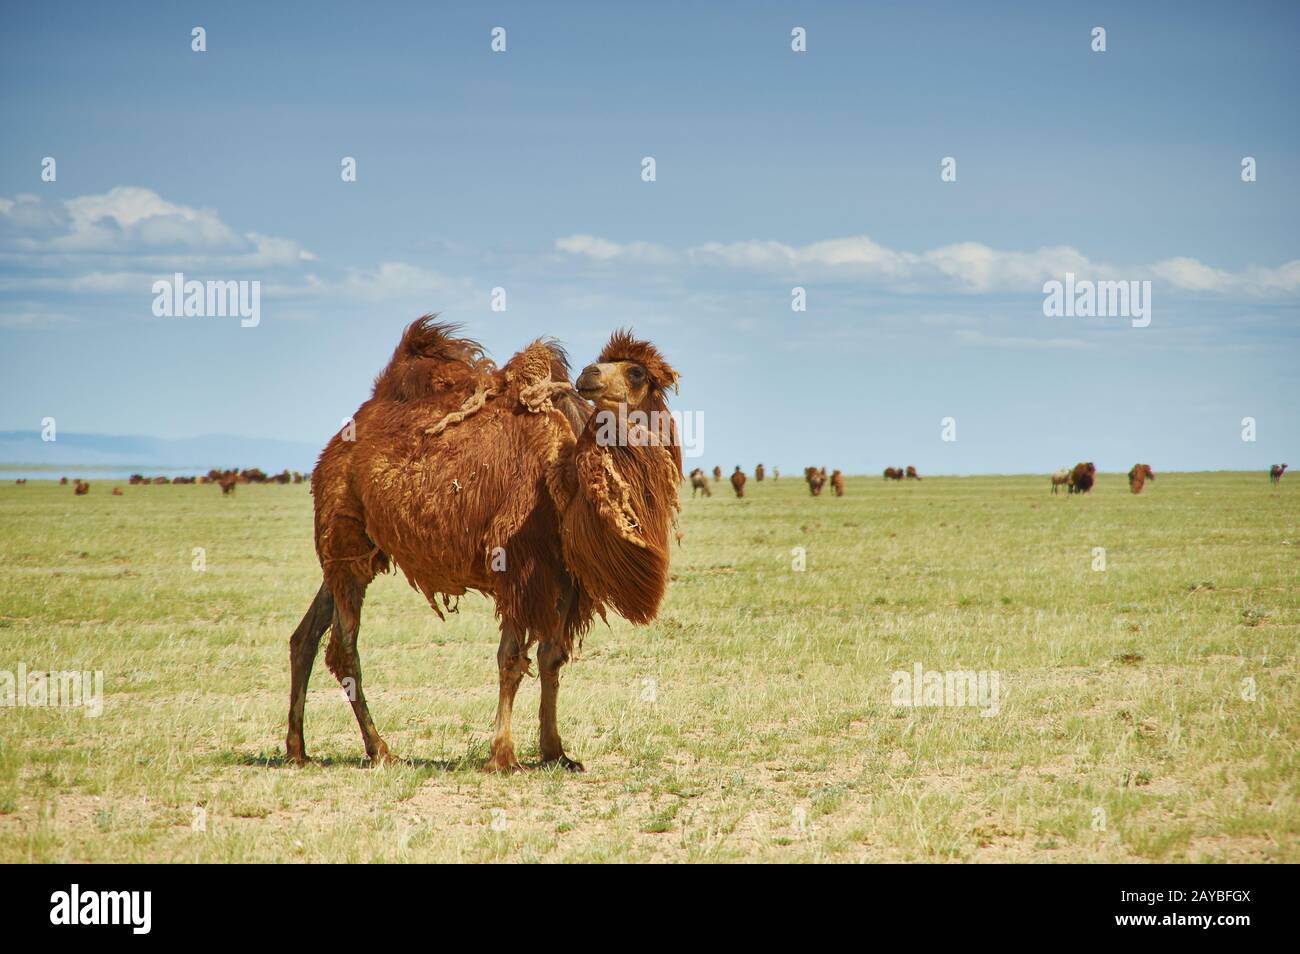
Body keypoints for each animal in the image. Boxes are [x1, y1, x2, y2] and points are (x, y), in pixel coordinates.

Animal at [287, 317, 681, 774]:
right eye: (607, 365)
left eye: (635, 372)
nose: (589, 374)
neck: (565, 482)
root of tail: (336, 445)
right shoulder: (518, 567)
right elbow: (510, 659)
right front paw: (503, 756)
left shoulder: (564, 578)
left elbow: (552, 657)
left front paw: (556, 752)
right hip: (343, 528)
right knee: (344, 649)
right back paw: (381, 750)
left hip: (352, 551)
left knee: (306, 635)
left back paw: (296, 748)